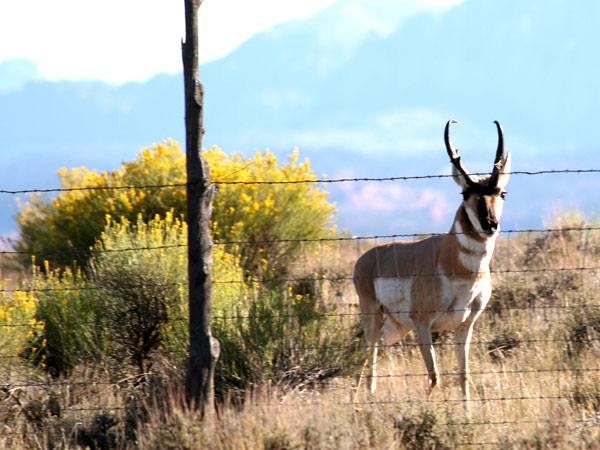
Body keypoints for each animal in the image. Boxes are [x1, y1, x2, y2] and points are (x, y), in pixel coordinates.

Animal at [354, 119, 512, 400]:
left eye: (502, 193)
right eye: (464, 194)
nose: (490, 224)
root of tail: (366, 258)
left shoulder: (465, 326)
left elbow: (463, 376)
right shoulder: (423, 325)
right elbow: (435, 375)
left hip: (396, 326)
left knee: (374, 346)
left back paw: (370, 393)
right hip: (372, 312)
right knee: (365, 347)